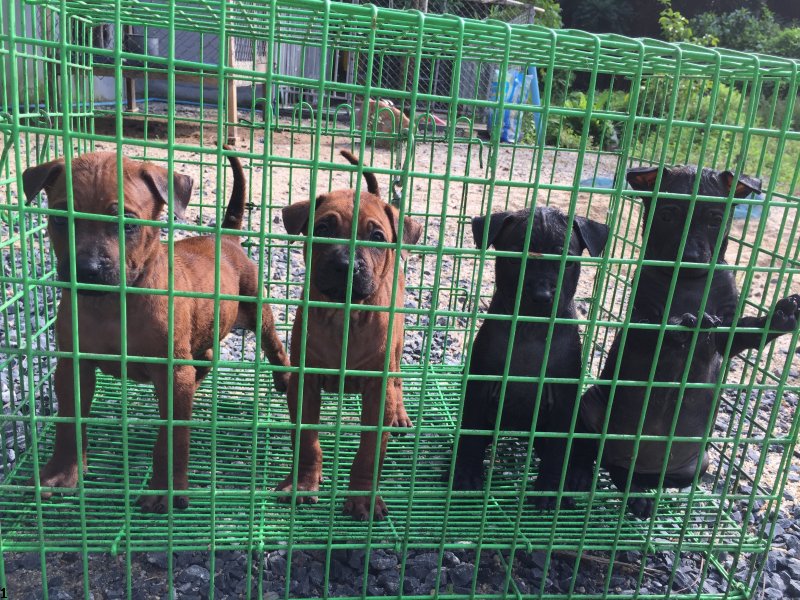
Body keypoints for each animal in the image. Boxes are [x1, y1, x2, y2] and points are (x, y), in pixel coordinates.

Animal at [22, 148, 290, 513]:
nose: (87, 270)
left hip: (255, 310)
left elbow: (171, 438)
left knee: (274, 345)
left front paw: (165, 489)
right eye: (60, 219)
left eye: (129, 223)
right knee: (205, 355)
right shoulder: (73, 366)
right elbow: (69, 423)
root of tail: (225, 237)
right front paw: (61, 473)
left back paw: (285, 378)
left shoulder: (172, 373)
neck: (113, 304)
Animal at [278, 149, 422, 520]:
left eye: (376, 237)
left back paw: (401, 414)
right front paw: (303, 483)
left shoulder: (377, 390)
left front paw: (362, 498)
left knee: (398, 377)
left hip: (398, 345)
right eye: (323, 228)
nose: (346, 266)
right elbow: (307, 440)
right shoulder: (304, 383)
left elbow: (370, 451)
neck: (344, 317)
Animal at [452, 207, 609, 508]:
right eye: (516, 258)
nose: (542, 295)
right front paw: (464, 474)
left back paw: (576, 476)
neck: (531, 329)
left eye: (568, 262)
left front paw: (549, 489)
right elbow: (470, 434)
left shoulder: (563, 399)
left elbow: (558, 448)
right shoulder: (479, 387)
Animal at [579, 165, 800, 518]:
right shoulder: (640, 317)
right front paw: (682, 321)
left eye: (715, 219)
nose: (692, 256)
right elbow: (653, 328)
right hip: (591, 412)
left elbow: (745, 331)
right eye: (668, 215)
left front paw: (780, 315)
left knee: (642, 475)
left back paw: (645, 492)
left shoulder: (727, 329)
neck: (688, 282)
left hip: (699, 462)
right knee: (603, 462)